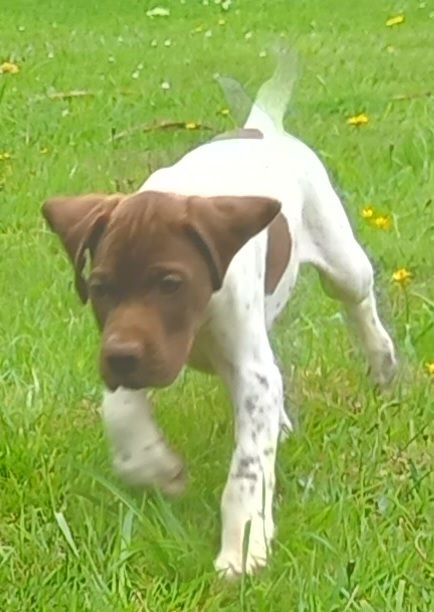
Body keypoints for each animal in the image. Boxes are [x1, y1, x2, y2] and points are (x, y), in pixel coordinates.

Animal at [42, 62, 397, 577]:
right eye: (101, 288)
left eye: (170, 283)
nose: (122, 360)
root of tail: (261, 124)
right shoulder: (128, 343)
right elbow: (121, 409)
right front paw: (151, 465)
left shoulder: (245, 365)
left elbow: (247, 469)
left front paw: (243, 545)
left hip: (341, 260)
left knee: (358, 301)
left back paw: (383, 363)